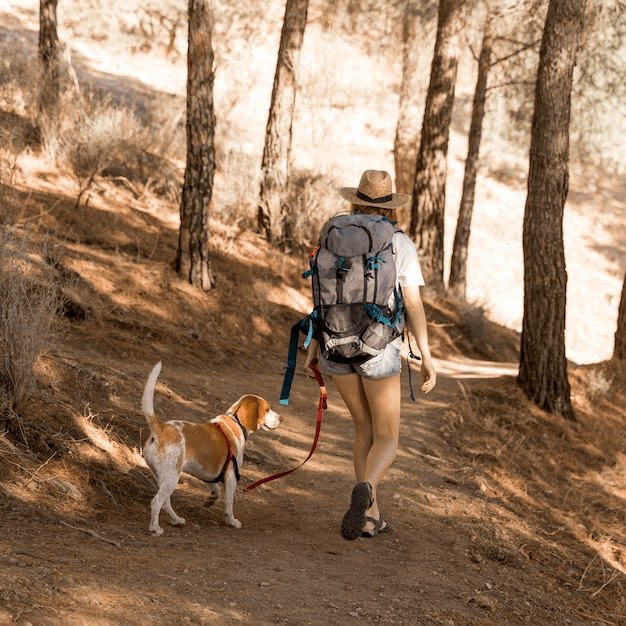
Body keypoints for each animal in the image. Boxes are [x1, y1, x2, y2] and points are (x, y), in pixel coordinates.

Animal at [141, 360, 280, 532]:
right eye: (267, 409)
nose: (281, 418)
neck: (235, 420)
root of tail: (160, 428)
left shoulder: (209, 472)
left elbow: (216, 489)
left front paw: (211, 500)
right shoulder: (231, 477)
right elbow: (229, 504)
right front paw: (232, 521)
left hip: (164, 478)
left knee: (165, 503)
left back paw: (176, 520)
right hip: (171, 477)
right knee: (156, 502)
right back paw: (155, 528)